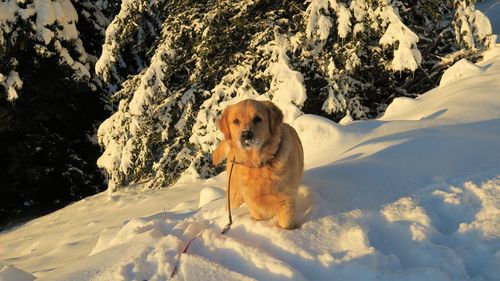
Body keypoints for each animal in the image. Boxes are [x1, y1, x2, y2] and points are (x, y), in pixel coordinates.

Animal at [212, 98, 302, 228]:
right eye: (236, 121)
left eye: (257, 118)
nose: (246, 134)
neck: (258, 165)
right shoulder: (255, 205)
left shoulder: (286, 200)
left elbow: (285, 224)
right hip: (234, 194)